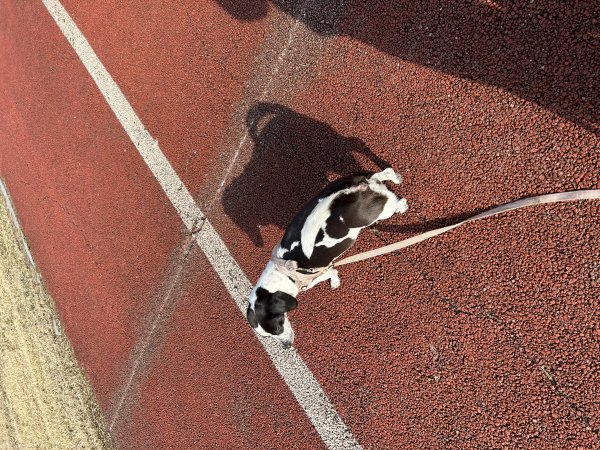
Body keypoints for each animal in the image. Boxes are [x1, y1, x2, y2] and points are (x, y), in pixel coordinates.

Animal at [245, 169, 408, 348]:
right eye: (267, 336)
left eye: (278, 327)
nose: (287, 346)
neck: (283, 273)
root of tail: (348, 192)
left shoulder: (319, 275)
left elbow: (332, 273)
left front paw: (335, 282)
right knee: (383, 173)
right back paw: (396, 179)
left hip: (381, 212)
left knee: (393, 200)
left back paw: (401, 206)